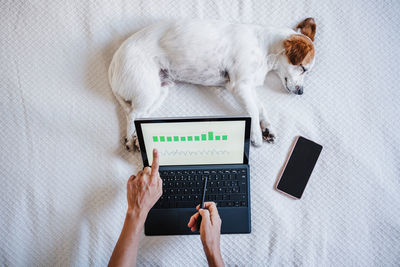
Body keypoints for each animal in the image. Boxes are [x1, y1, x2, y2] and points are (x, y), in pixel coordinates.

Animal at [108, 17, 316, 152]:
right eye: (303, 68)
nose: (301, 92)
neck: (264, 48)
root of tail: (113, 62)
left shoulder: (248, 86)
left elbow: (261, 108)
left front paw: (267, 128)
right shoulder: (239, 85)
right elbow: (253, 111)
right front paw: (256, 134)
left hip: (159, 91)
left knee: (137, 115)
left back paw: (136, 139)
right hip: (147, 90)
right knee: (132, 114)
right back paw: (130, 140)